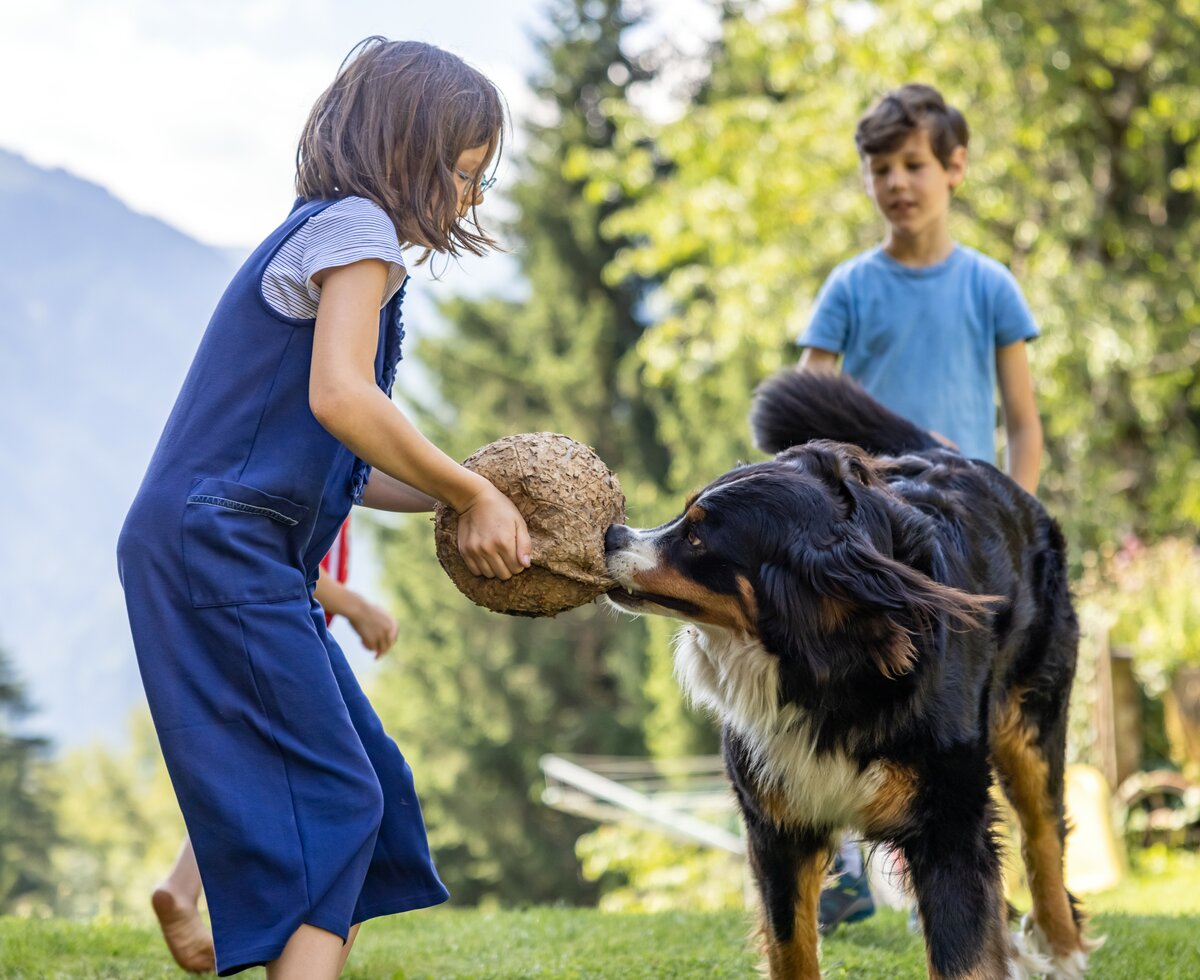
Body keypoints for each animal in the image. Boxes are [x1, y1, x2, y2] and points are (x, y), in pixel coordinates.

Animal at [604, 369, 1099, 978]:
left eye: (696, 537)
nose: (611, 535)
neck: (825, 668)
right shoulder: (779, 823)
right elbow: (791, 943)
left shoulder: (947, 823)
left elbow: (960, 952)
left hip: (1029, 721)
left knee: (1043, 835)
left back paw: (1062, 948)